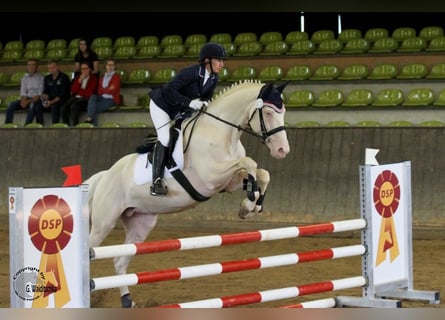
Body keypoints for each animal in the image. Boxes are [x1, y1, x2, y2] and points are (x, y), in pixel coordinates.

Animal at [84, 80, 290, 308]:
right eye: (269, 112)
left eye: (283, 112)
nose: (282, 150)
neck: (221, 132)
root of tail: (105, 175)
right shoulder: (211, 177)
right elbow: (250, 163)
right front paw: (250, 201)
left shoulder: (228, 182)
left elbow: (262, 173)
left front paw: (250, 206)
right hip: (104, 223)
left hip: (140, 223)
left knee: (120, 260)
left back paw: (128, 300)